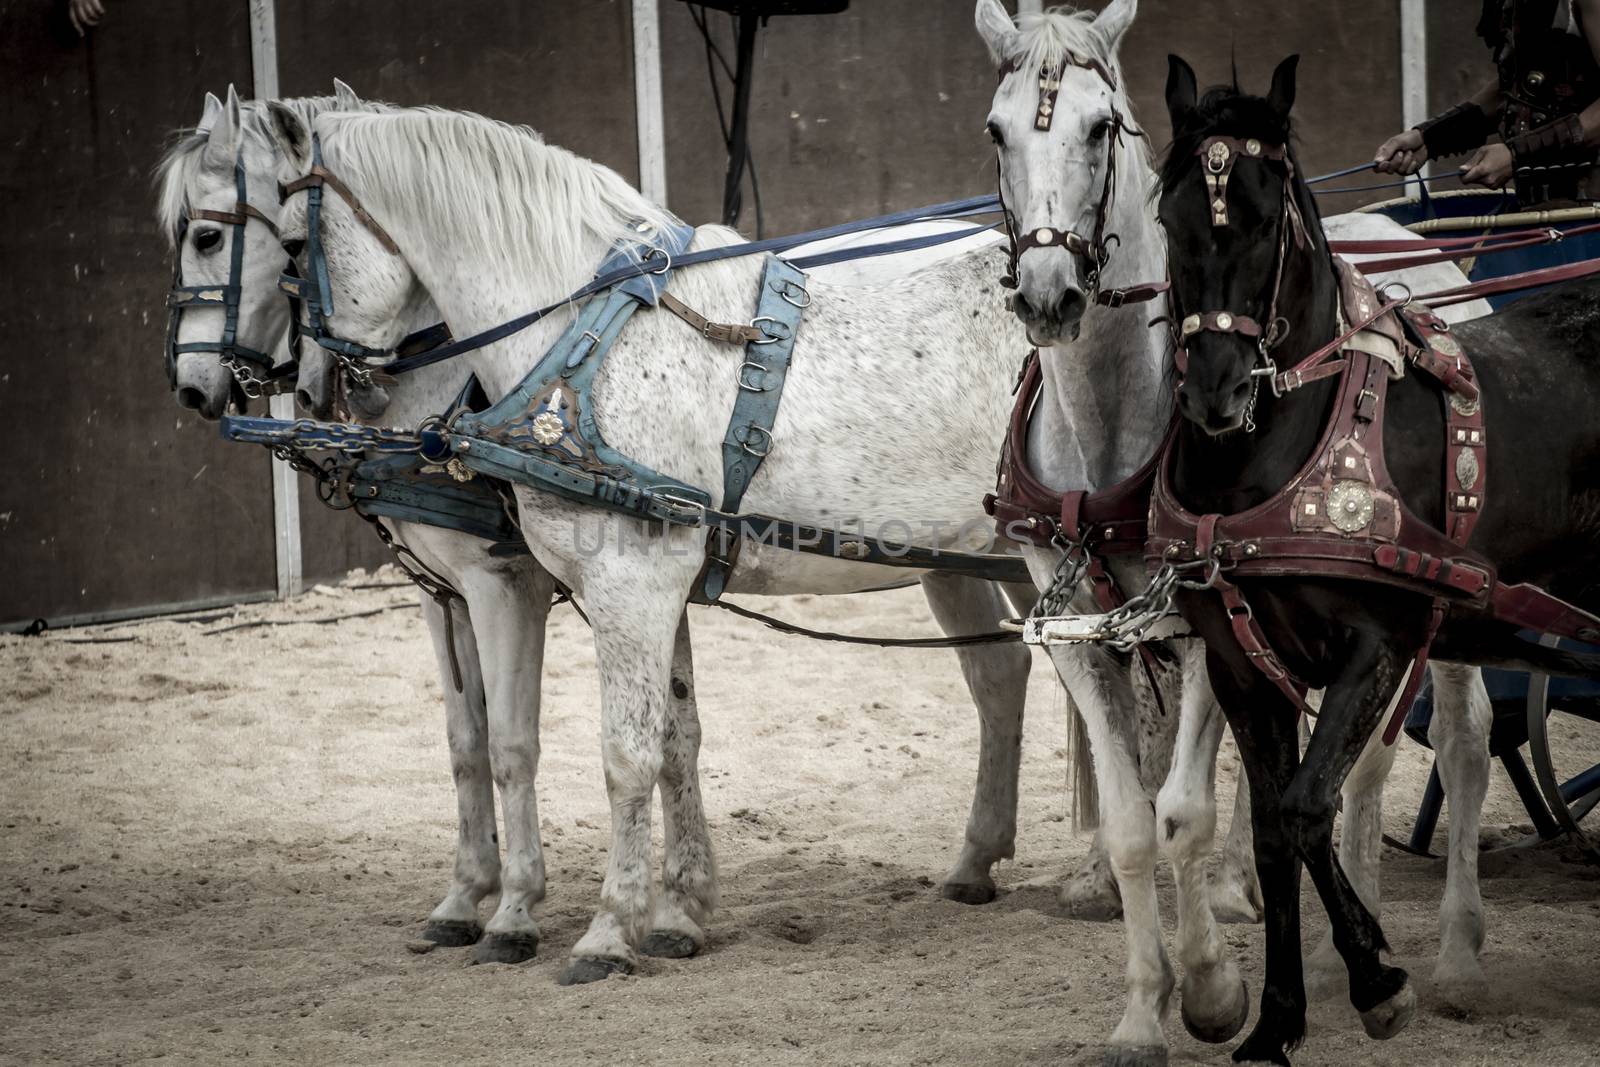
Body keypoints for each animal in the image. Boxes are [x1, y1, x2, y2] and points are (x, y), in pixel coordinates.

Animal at [972, 0, 1497, 1062]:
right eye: (999, 131)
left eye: (1102, 127)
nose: (1049, 295)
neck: (1114, 427)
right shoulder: (1081, 633)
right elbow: (1133, 824)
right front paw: (1145, 1010)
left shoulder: (1206, 625)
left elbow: (1186, 811)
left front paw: (1213, 990)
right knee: (1355, 767)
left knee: (1459, 744)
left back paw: (1452, 954)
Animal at [1158, 56, 1600, 1067]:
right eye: (1170, 217)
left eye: (1269, 211)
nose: (1215, 392)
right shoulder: (1242, 665)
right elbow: (1274, 828)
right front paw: (1275, 1020)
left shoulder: (1380, 643)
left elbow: (1307, 806)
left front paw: (1377, 979)